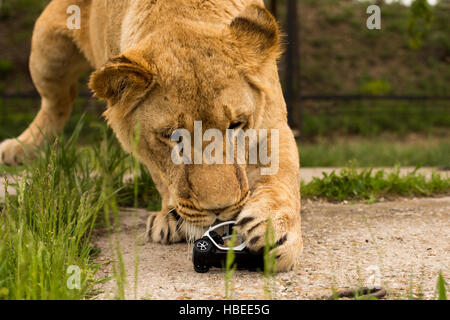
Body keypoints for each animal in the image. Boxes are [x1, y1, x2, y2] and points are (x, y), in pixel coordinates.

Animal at [0, 0, 302, 272]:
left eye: (236, 124)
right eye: (174, 137)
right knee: (58, 101)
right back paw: (19, 149)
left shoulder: (273, 121)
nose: (220, 209)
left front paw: (275, 230)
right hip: (47, 49)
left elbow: (284, 173)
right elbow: (162, 174)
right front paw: (170, 218)